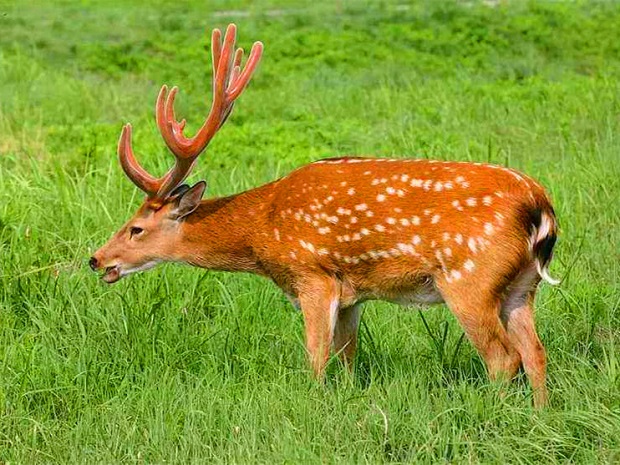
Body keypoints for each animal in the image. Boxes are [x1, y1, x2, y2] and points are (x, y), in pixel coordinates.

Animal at [89, 23, 560, 406]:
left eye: (135, 229)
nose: (96, 259)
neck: (263, 229)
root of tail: (541, 208)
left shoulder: (312, 275)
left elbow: (315, 359)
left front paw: (313, 404)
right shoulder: (352, 291)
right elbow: (347, 357)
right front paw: (348, 400)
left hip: (469, 278)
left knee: (504, 358)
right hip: (521, 286)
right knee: (536, 353)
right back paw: (538, 416)